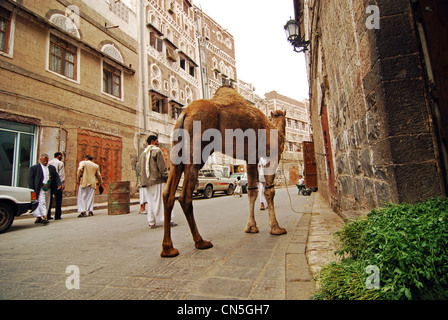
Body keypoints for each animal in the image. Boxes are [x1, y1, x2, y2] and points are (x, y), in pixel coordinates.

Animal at [161, 85, 288, 258]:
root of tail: (186, 113)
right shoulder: (272, 155)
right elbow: (269, 191)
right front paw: (276, 228)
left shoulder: (251, 157)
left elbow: (252, 191)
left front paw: (251, 227)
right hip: (198, 148)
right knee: (184, 196)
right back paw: (201, 242)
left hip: (177, 148)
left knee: (168, 194)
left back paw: (168, 249)